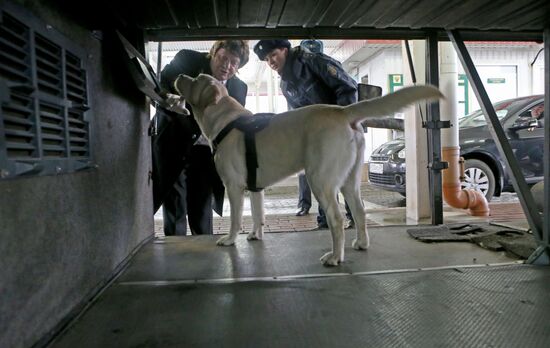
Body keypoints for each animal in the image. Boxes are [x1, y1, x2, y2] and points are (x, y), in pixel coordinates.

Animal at [175, 72, 442, 266]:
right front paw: (255, 236)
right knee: (359, 211)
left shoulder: (233, 186)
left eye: (196, 80)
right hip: (350, 180)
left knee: (337, 219)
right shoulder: (256, 188)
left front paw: (230, 239)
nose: (178, 74)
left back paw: (334, 257)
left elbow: (235, 218)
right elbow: (258, 215)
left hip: (320, 180)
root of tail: (342, 111)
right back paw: (362, 243)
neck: (225, 120)